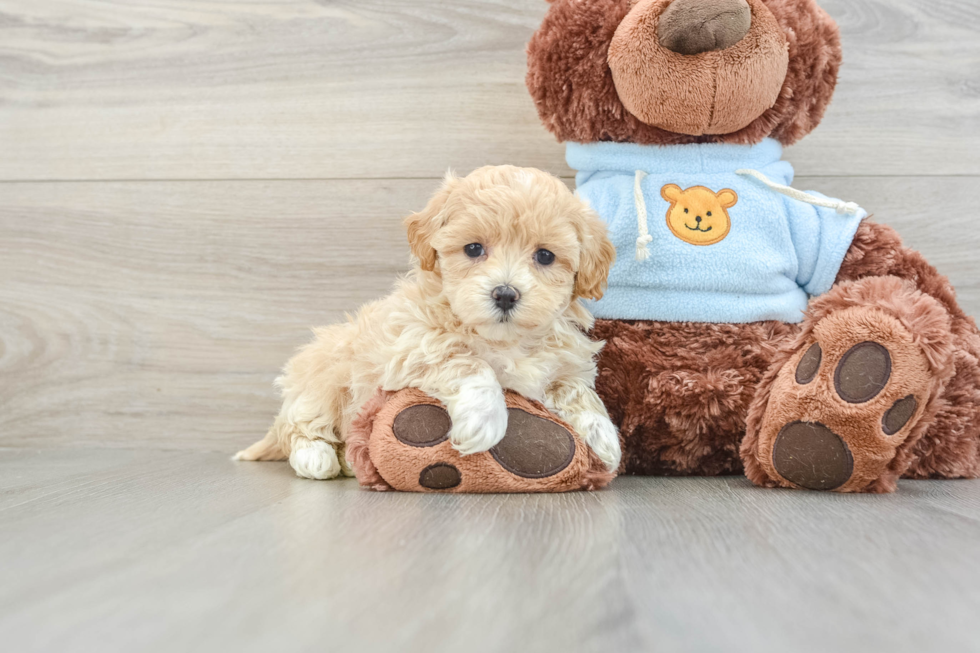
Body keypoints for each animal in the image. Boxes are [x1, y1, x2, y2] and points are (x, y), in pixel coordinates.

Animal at [235, 163, 620, 478]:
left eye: (545, 256)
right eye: (473, 249)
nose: (505, 294)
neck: (503, 339)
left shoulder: (564, 363)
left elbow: (577, 390)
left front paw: (603, 436)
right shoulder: (414, 346)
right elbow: (470, 364)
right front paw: (483, 421)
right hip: (323, 379)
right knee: (300, 427)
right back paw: (316, 457)